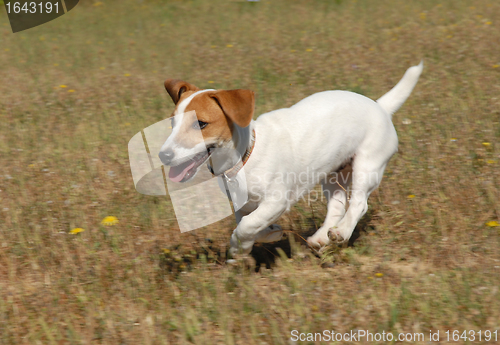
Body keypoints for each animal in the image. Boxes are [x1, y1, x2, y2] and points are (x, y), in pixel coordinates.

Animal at [159, 60, 422, 256]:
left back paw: (342, 232)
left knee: (359, 203)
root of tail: (380, 107)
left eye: (200, 124)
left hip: (367, 167)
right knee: (337, 204)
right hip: (332, 173)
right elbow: (249, 223)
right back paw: (321, 237)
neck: (245, 156)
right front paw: (271, 233)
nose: (163, 154)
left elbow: (245, 226)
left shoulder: (276, 201)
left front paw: (238, 248)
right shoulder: (243, 205)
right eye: (172, 124)